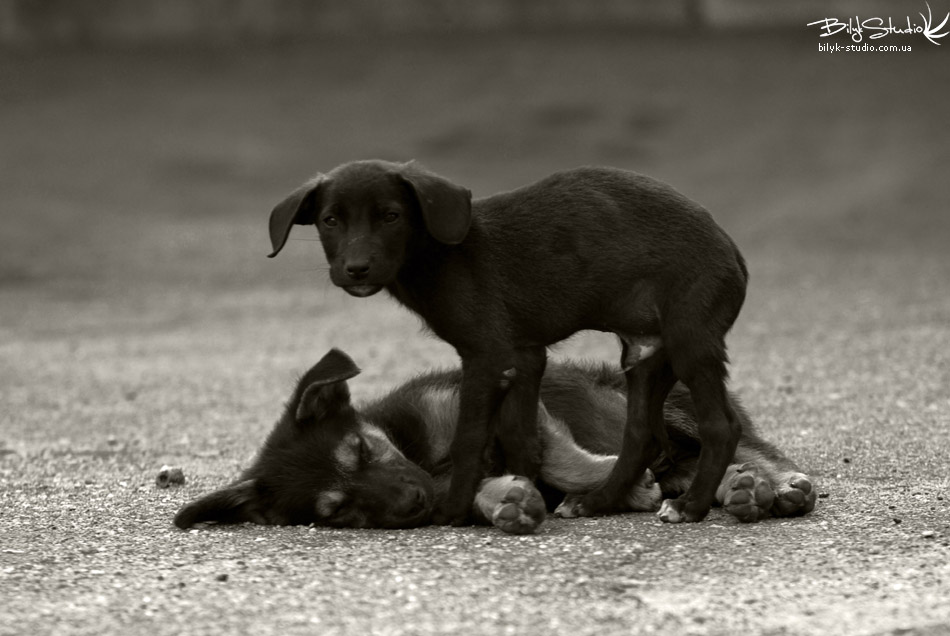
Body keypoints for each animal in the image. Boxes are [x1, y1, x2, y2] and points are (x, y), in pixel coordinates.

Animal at [177, 350, 820, 536]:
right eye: (336, 511)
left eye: (361, 449)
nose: (413, 504)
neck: (422, 456)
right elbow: (476, 491)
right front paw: (505, 499)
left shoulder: (509, 391)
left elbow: (560, 456)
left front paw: (612, 485)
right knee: (700, 471)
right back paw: (739, 491)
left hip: (663, 402)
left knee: (741, 447)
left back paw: (775, 484)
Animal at [268, 160, 752, 528]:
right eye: (330, 220)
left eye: (391, 216)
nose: (356, 269)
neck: (441, 256)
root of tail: (731, 249)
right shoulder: (525, 356)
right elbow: (521, 438)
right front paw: (522, 491)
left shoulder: (488, 357)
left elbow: (468, 439)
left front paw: (452, 510)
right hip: (645, 354)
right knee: (641, 436)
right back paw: (596, 501)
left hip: (690, 340)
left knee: (720, 426)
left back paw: (689, 505)